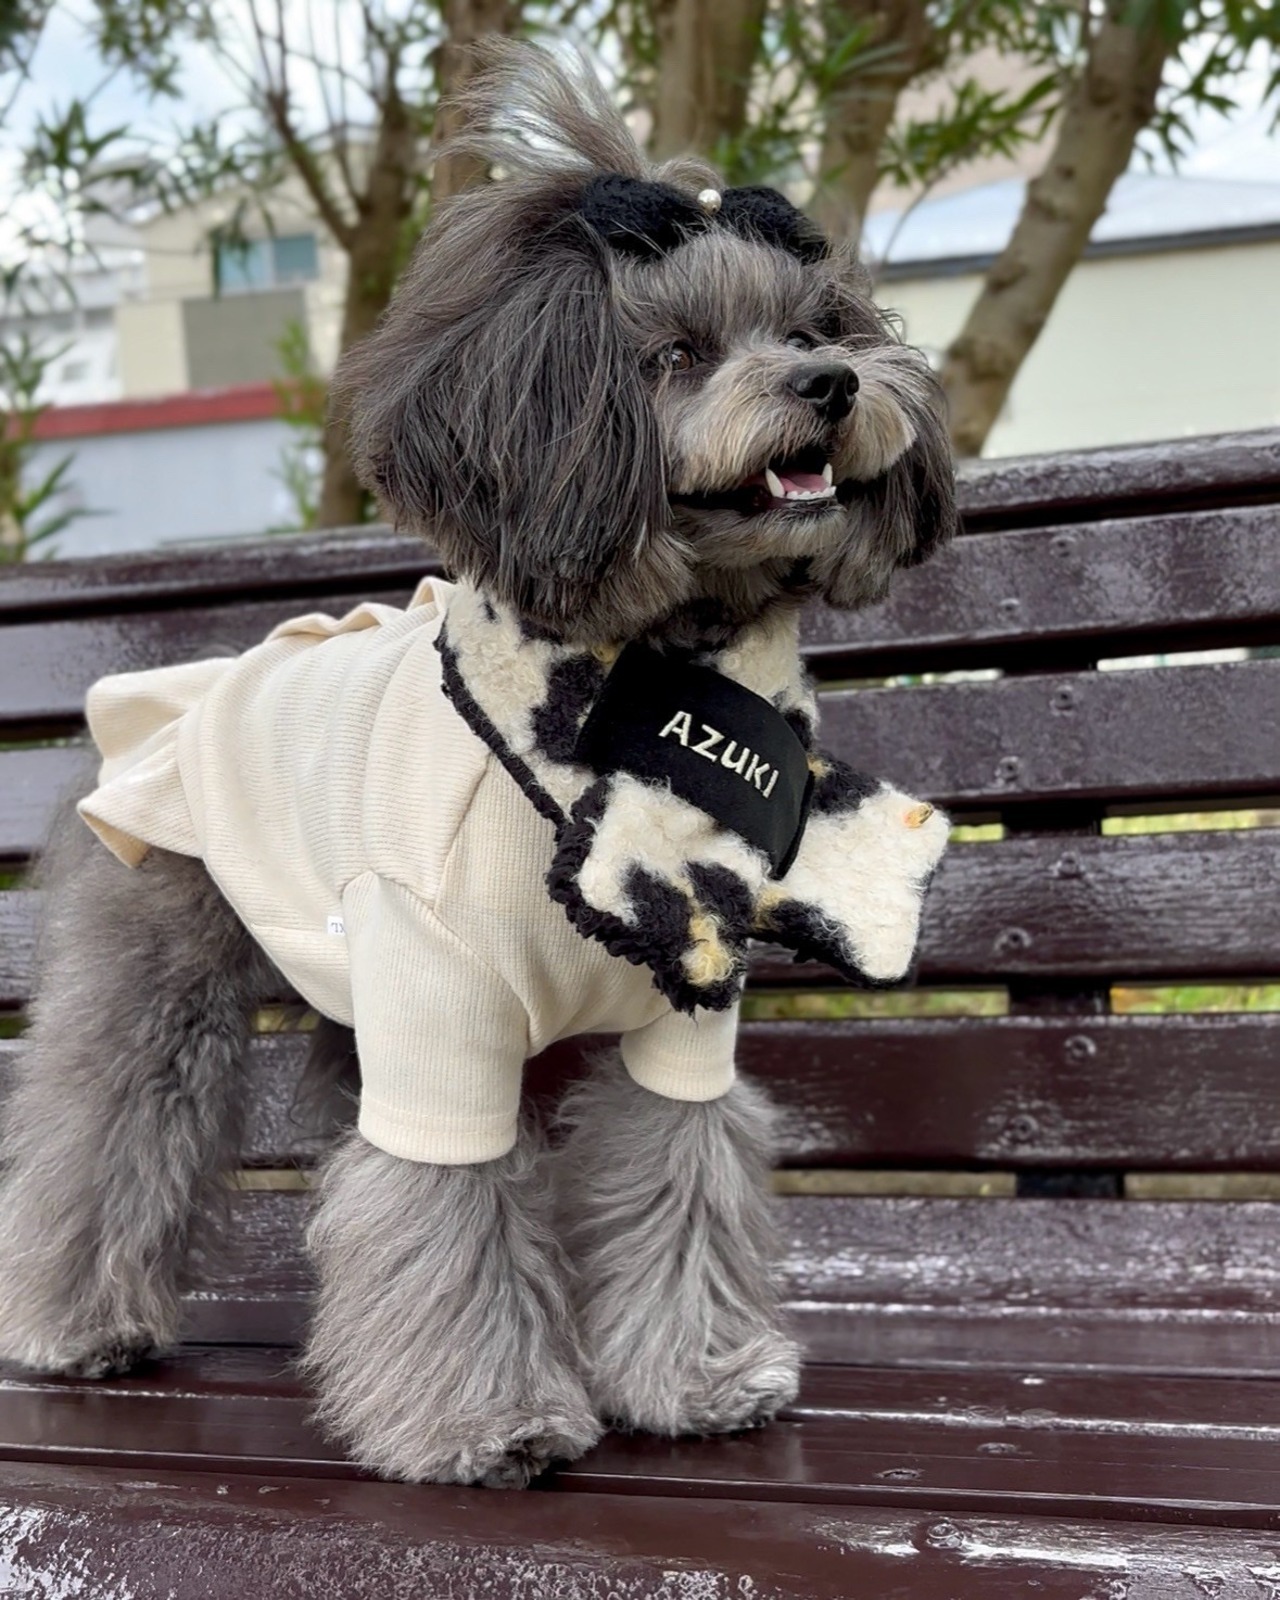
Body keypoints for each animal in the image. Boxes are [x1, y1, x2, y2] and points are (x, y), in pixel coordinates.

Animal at [0, 44, 955, 1487]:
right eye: (672, 356)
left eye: (811, 328)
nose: (835, 386)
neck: (641, 696)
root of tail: (170, 694)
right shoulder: (439, 1010)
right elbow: (442, 1209)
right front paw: (484, 1422)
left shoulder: (682, 1015)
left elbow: (680, 1173)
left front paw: (698, 1374)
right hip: (161, 972)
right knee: (102, 1129)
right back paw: (72, 1324)